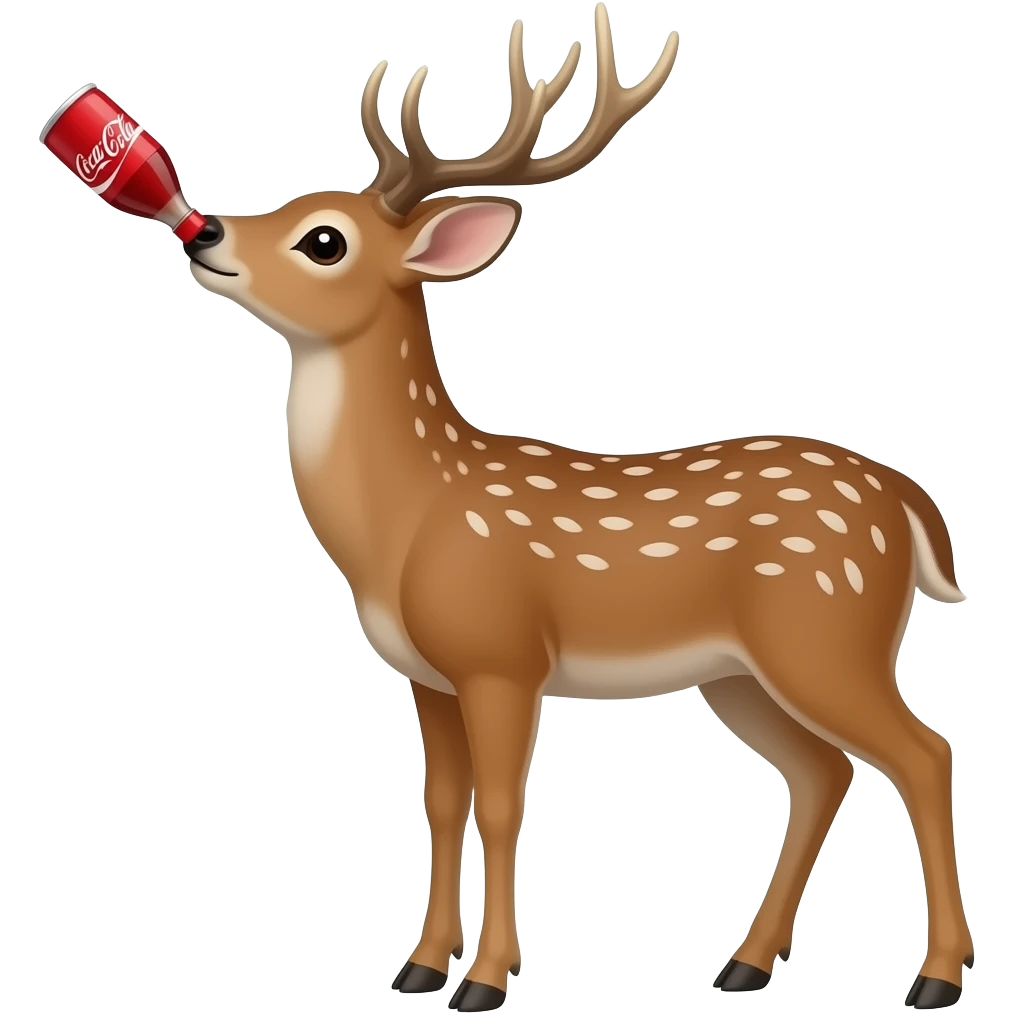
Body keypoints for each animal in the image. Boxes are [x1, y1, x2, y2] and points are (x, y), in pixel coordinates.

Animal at [179, 6, 972, 1011]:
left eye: (324, 239)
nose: (203, 230)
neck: (408, 522)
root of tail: (907, 500)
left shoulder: (502, 655)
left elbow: (502, 805)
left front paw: (484, 979)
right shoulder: (426, 674)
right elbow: (440, 803)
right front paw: (418, 965)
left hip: (828, 631)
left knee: (923, 754)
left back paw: (934, 976)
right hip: (741, 672)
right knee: (822, 772)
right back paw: (743, 963)